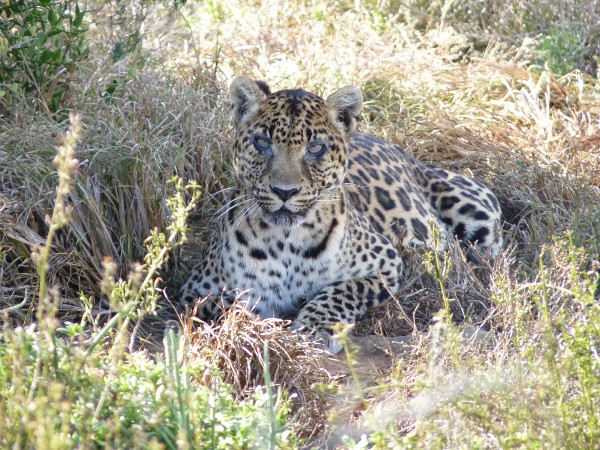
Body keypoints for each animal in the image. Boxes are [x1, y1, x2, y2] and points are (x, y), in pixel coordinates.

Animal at [180, 75, 504, 354]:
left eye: (315, 148)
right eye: (262, 142)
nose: (284, 191)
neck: (285, 240)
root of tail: (405, 153)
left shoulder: (386, 263)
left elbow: (342, 291)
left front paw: (314, 328)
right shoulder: (194, 290)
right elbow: (223, 302)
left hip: (475, 210)